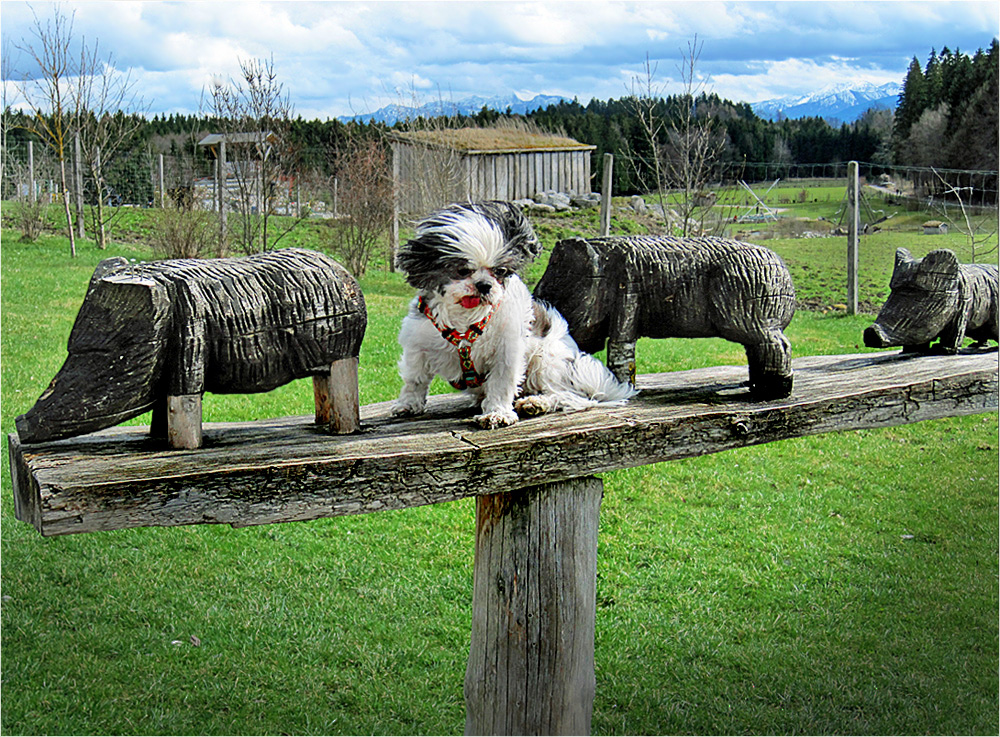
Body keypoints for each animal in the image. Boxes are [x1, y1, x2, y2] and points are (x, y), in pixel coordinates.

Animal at [390, 201, 632, 432]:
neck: (465, 319)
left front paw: (497, 413)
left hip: (547, 361)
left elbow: (501, 383)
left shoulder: (507, 350)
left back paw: (536, 402)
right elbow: (415, 379)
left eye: (499, 272)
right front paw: (408, 404)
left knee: (569, 396)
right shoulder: (418, 344)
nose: (484, 285)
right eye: (462, 271)